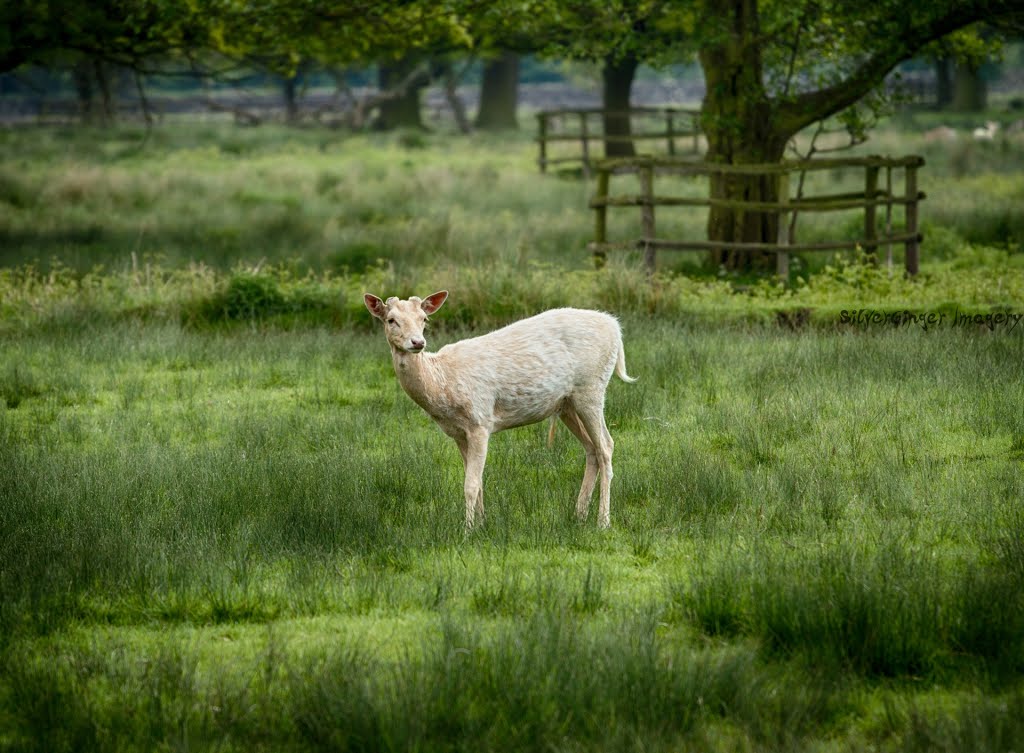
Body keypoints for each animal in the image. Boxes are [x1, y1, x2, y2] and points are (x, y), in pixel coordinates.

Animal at [364, 290, 634, 528]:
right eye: (391, 320)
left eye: (424, 319)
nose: (417, 342)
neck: (442, 384)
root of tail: (616, 328)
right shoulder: (458, 433)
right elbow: (478, 482)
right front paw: (482, 525)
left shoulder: (480, 420)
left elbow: (470, 485)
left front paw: (467, 530)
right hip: (567, 403)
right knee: (591, 448)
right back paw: (579, 515)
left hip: (592, 387)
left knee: (606, 446)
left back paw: (603, 521)